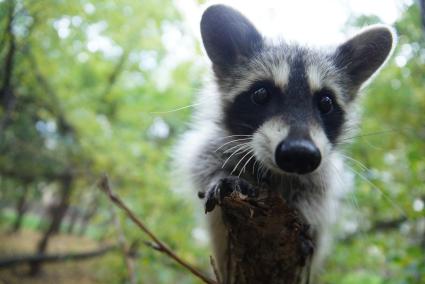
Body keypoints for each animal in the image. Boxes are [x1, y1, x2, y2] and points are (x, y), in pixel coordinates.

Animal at [174, 3, 396, 282]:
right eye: (261, 94)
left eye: (326, 102)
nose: (299, 154)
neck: (276, 174)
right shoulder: (213, 144)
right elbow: (203, 162)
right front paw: (221, 176)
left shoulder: (320, 176)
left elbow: (315, 199)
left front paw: (304, 216)